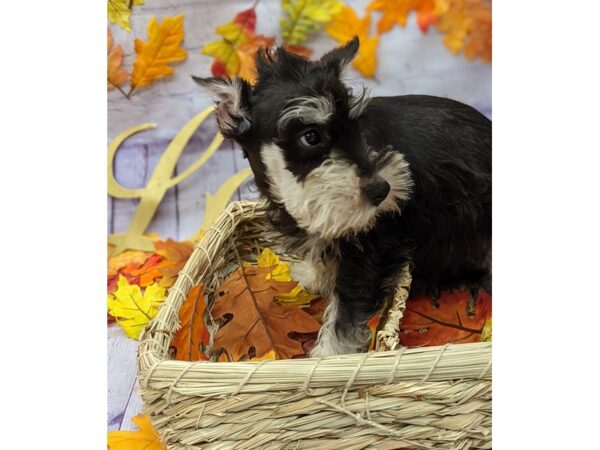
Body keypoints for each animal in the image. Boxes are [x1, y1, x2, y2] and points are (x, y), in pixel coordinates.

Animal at [195, 37, 490, 356]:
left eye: (357, 128)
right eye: (311, 136)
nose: (382, 189)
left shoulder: (370, 251)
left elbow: (346, 312)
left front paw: (328, 355)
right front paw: (312, 275)